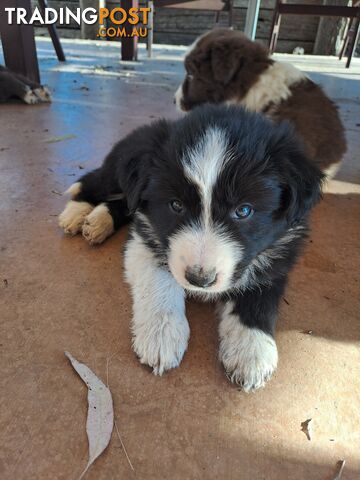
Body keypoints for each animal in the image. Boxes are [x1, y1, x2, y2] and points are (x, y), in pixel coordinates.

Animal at [58, 104, 324, 390]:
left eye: (244, 210)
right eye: (176, 205)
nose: (200, 279)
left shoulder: (280, 251)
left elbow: (259, 295)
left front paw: (251, 350)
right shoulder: (145, 237)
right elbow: (161, 281)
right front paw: (161, 334)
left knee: (122, 203)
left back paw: (97, 221)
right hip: (116, 173)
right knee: (95, 182)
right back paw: (77, 213)